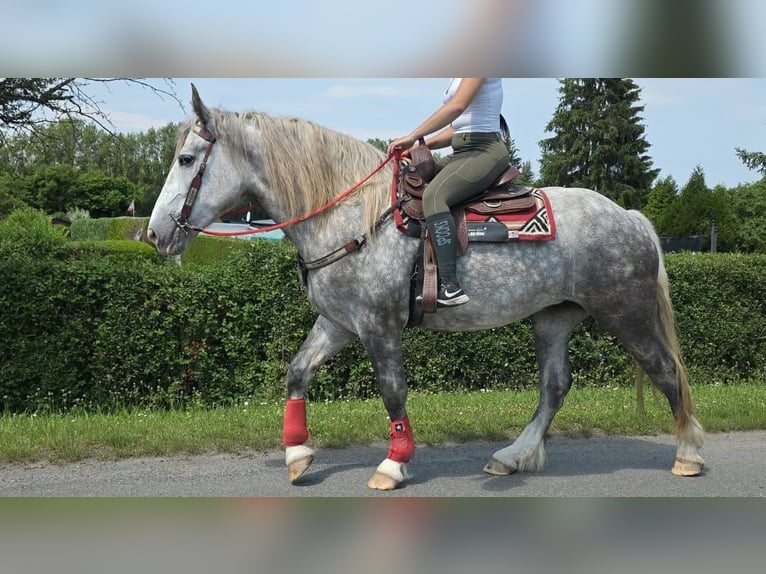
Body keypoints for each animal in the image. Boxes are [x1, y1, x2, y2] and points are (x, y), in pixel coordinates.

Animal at [147, 85, 704, 491]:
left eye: (187, 159)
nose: (154, 234)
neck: (353, 216)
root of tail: (630, 216)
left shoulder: (379, 327)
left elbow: (392, 392)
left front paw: (393, 464)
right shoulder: (339, 322)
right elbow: (298, 371)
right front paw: (297, 453)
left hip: (626, 314)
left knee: (666, 373)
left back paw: (689, 454)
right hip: (554, 318)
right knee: (554, 387)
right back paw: (513, 455)